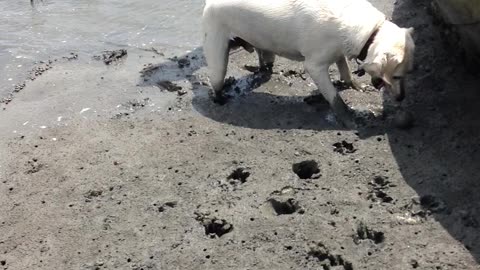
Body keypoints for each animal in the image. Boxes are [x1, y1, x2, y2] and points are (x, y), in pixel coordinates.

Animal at [201, 0, 414, 126]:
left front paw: (355, 85)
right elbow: (334, 97)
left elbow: (344, 69)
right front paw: (348, 119)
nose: (402, 97)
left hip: (263, 46)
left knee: (264, 61)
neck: (370, 32)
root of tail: (211, 2)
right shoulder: (315, 66)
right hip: (218, 58)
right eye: (396, 76)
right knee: (216, 82)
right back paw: (220, 99)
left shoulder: (338, 53)